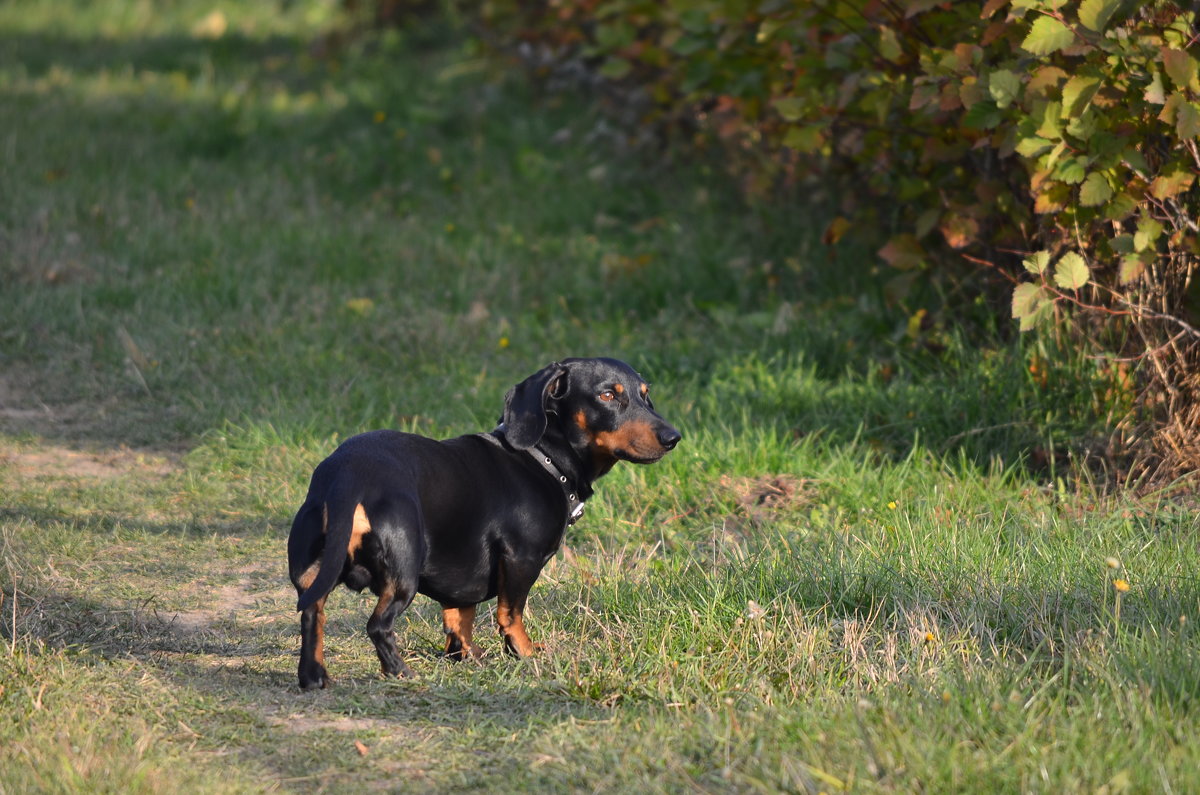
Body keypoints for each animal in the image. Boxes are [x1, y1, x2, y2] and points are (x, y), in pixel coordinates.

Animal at [284, 360, 681, 691]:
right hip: (403, 571)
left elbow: (460, 617)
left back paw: (314, 676)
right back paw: (400, 672)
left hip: (315, 570)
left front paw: (466, 656)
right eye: (607, 395)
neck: (543, 458)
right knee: (378, 625)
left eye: (645, 395)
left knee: (312, 614)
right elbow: (511, 613)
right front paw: (525, 652)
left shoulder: (463, 577)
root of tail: (348, 476)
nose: (673, 437)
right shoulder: (521, 560)